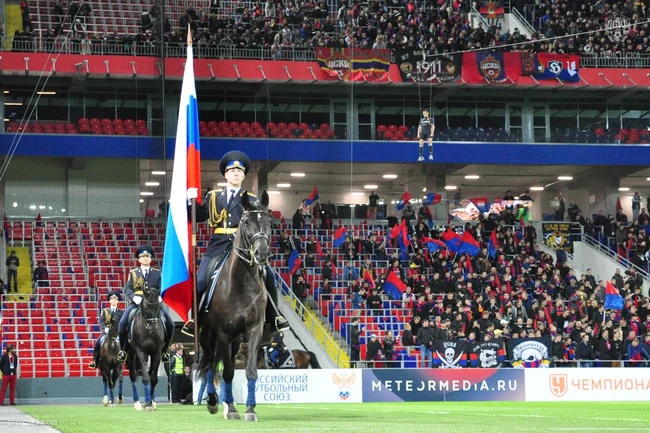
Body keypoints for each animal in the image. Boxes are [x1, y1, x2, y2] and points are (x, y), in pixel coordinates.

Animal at [197, 191, 271, 422]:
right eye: (246, 222)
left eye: (269, 221)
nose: (261, 254)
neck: (240, 283)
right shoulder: (222, 333)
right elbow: (228, 372)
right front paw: (230, 409)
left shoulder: (255, 329)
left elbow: (250, 370)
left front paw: (250, 409)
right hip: (208, 335)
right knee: (209, 362)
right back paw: (213, 401)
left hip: (236, 340)